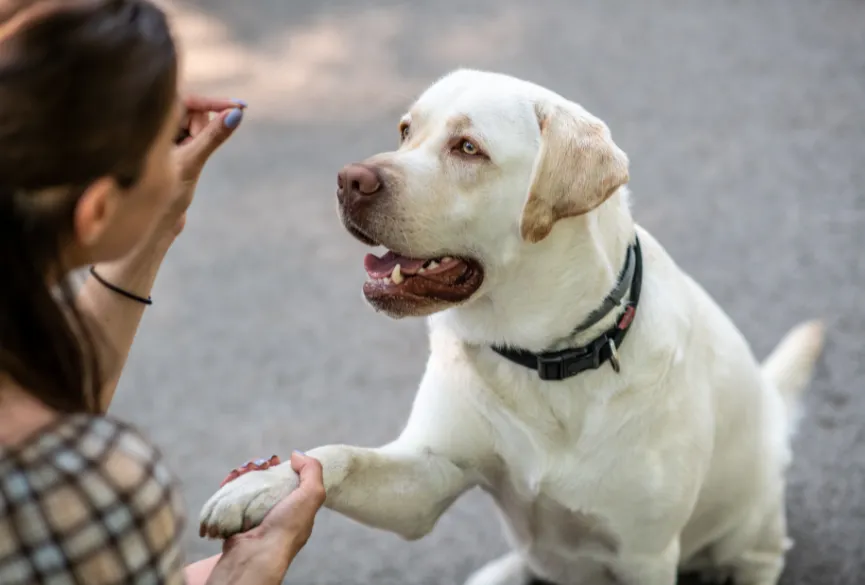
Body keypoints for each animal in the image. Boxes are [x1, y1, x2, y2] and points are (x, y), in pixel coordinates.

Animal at [197, 69, 824, 584]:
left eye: (468, 148)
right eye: (405, 130)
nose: (349, 180)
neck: (542, 357)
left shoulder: (645, 555)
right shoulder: (427, 478)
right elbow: (338, 456)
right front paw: (260, 487)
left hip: (752, 527)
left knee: (760, 557)